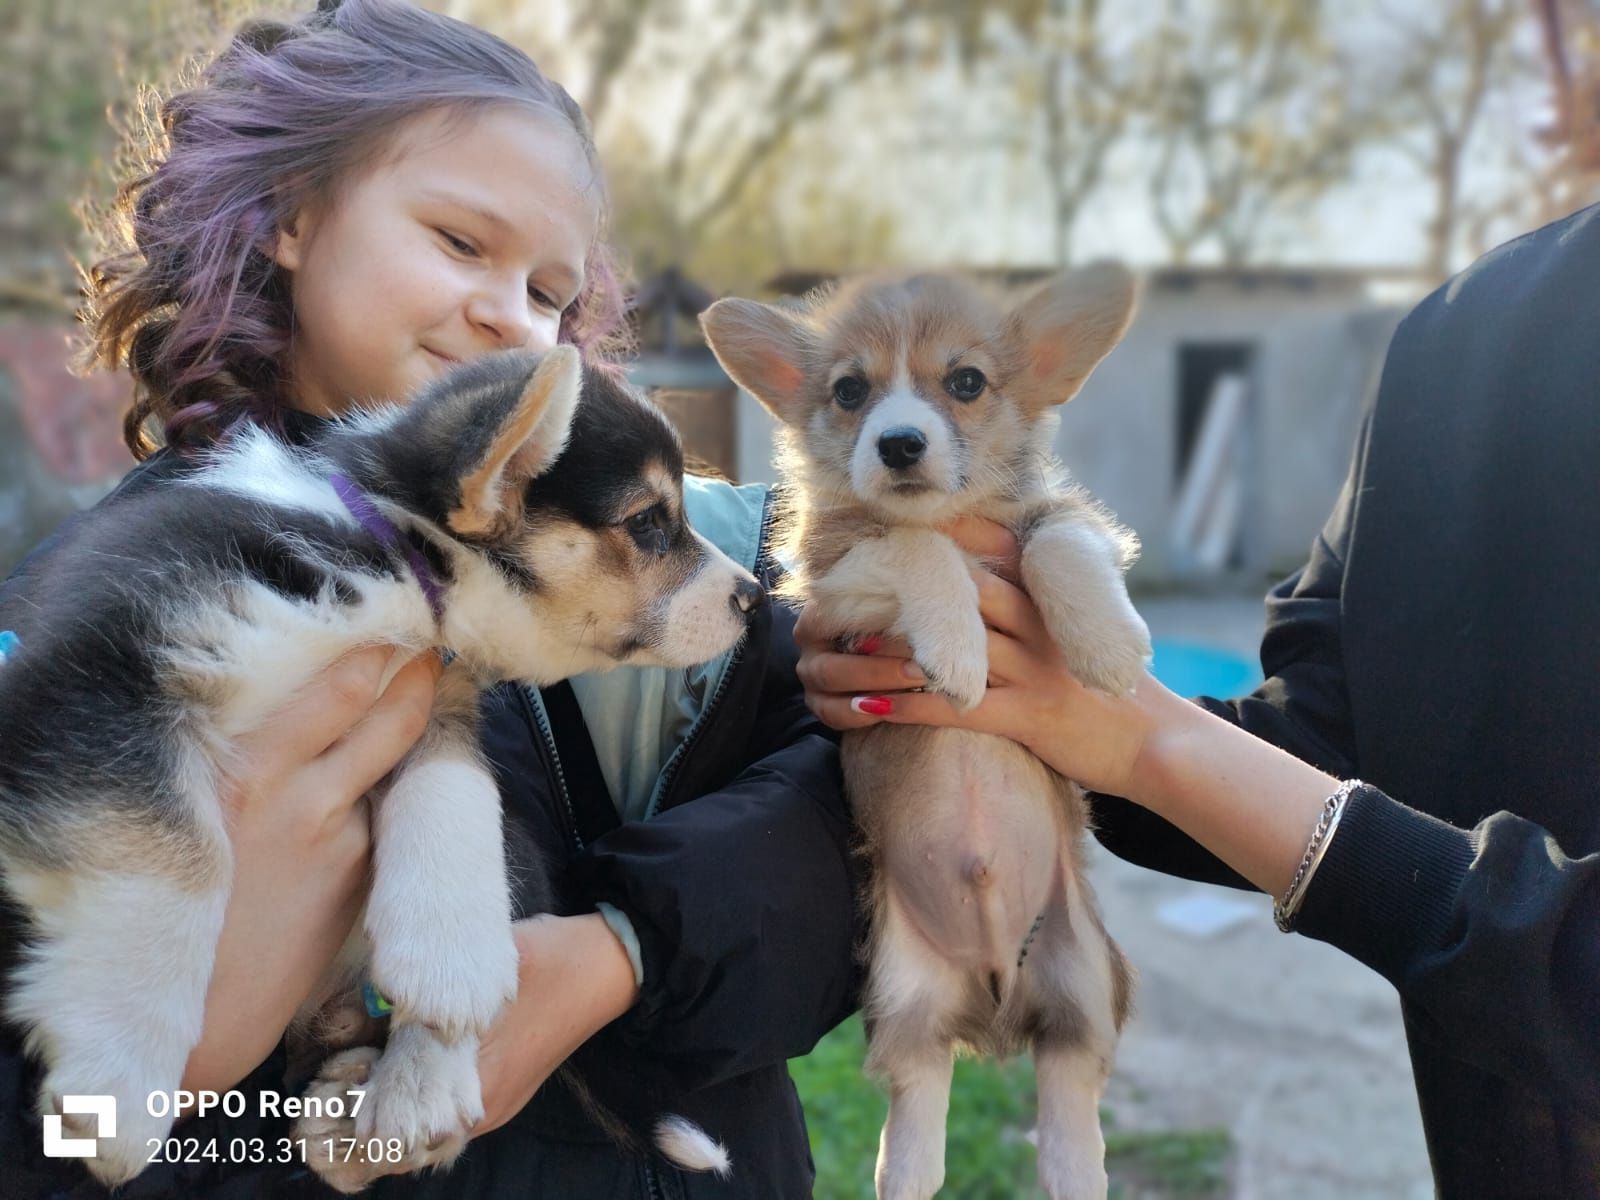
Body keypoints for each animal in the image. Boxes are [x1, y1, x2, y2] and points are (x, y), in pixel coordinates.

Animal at [0, 347, 755, 1196]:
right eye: (649, 524)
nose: (759, 596)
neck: (392, 551)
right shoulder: (98, 669)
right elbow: (179, 859)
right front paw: (120, 1081)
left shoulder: (433, 692)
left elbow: (454, 785)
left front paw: (452, 965)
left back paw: (407, 1090)